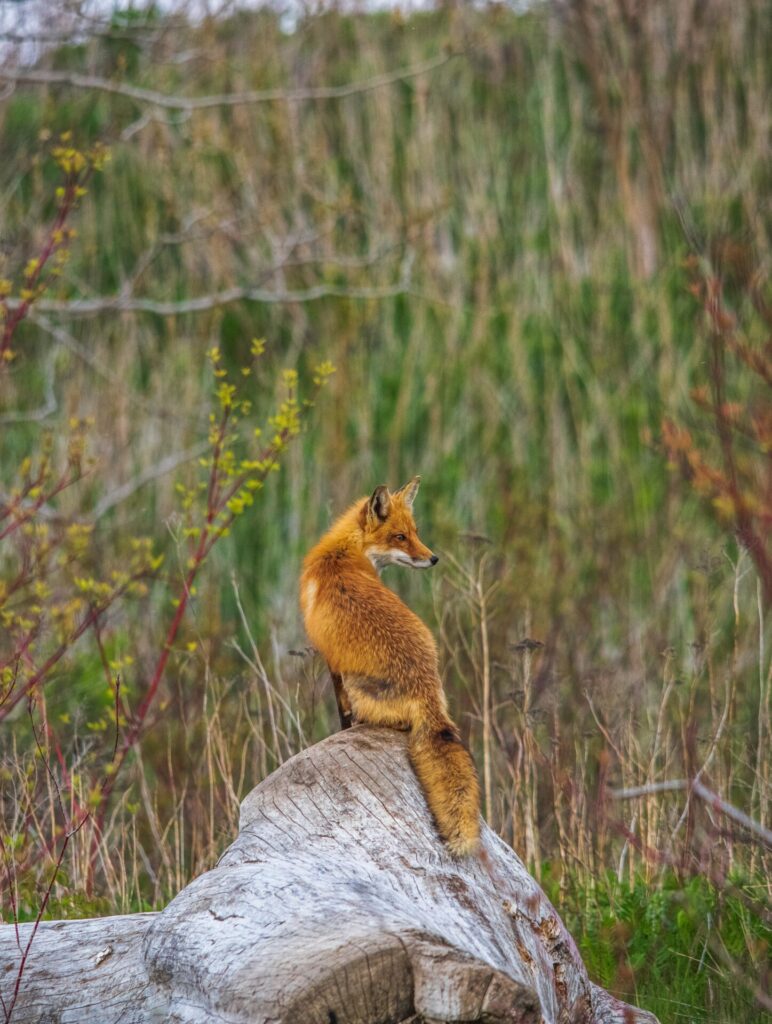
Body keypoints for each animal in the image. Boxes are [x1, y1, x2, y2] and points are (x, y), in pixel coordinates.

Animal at [296, 479, 479, 856]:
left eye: (414, 533)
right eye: (400, 536)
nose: (433, 558)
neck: (343, 556)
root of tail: (426, 691)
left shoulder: (333, 663)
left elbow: (342, 715)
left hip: (358, 686)